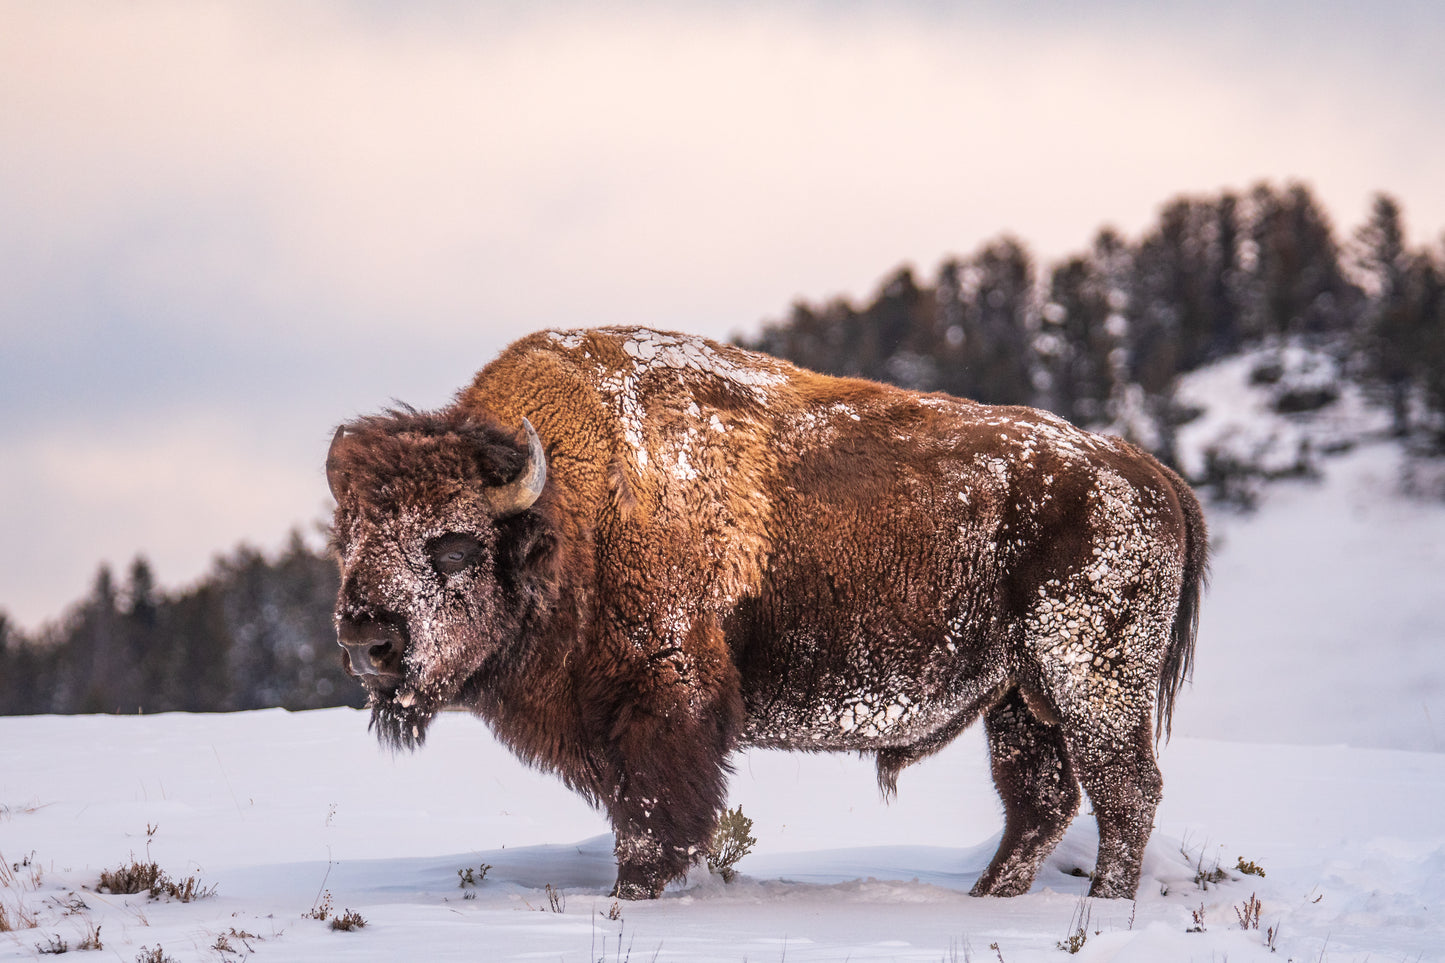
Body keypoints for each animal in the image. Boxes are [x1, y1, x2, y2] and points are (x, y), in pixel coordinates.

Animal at [328, 326, 1208, 896]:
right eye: (350, 534)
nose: (369, 637)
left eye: (453, 544)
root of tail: (1146, 473)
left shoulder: (666, 695)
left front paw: (632, 893)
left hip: (1091, 686)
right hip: (1019, 698)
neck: (574, 507)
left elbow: (651, 814)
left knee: (1125, 790)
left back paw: (1101, 903)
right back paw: (989, 895)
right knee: (1041, 799)